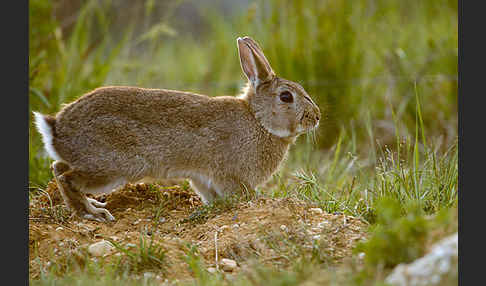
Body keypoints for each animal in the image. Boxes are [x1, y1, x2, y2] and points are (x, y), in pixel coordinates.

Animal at [35, 36, 322, 223]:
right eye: (286, 97)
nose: (316, 117)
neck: (258, 121)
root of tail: (57, 128)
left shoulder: (203, 178)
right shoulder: (229, 175)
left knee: (60, 170)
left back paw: (92, 204)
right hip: (113, 166)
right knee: (64, 175)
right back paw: (92, 213)